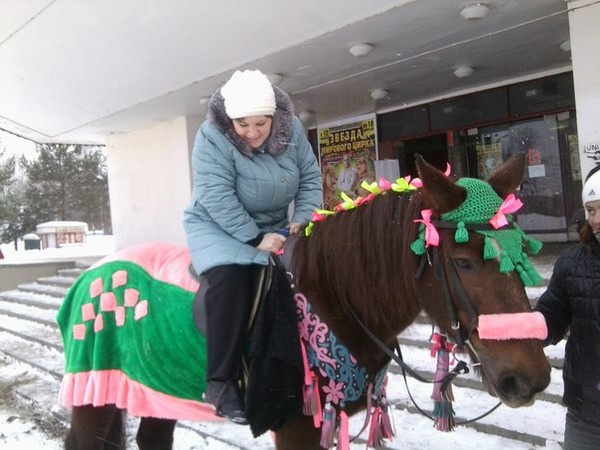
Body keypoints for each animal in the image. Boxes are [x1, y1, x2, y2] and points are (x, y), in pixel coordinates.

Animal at [59, 153, 548, 448]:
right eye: (463, 261)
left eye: (523, 252)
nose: (531, 379)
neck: (331, 298)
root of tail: (88, 277)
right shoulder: (296, 429)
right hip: (94, 393)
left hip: (156, 392)